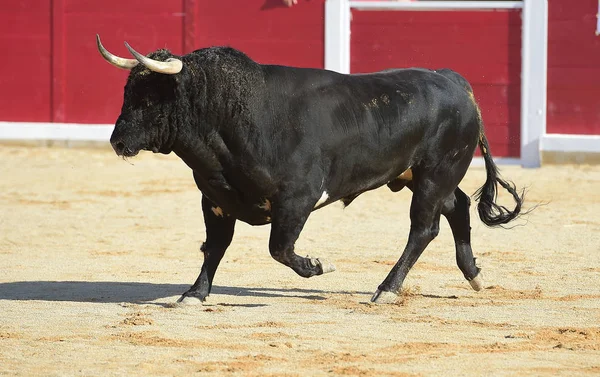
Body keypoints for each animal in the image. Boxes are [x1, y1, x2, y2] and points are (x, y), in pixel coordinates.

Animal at [97, 35, 524, 304]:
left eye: (150, 98)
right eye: (127, 92)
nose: (117, 141)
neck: (235, 116)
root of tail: (455, 81)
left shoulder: (297, 199)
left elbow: (280, 248)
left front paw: (319, 265)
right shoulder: (215, 201)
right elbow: (214, 248)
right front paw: (194, 294)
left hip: (436, 173)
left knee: (423, 228)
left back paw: (387, 289)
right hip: (420, 175)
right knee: (457, 207)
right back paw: (474, 276)